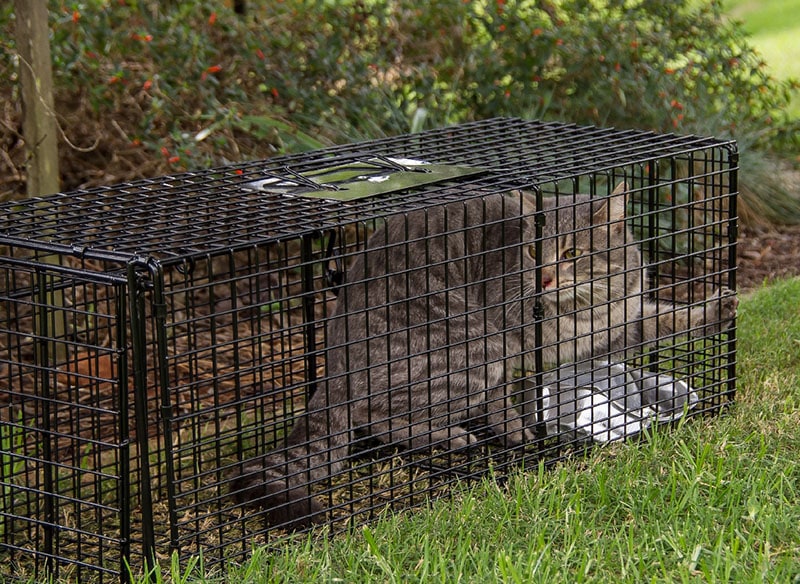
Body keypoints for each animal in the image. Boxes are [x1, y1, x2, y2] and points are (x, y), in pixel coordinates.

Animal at [231, 184, 736, 528]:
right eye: (533, 251)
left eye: (572, 252)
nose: (545, 278)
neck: (587, 306)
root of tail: (333, 356)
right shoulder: (507, 345)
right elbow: (503, 403)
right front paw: (518, 432)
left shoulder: (615, 327)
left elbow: (665, 319)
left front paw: (715, 310)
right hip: (469, 346)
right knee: (375, 414)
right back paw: (450, 436)